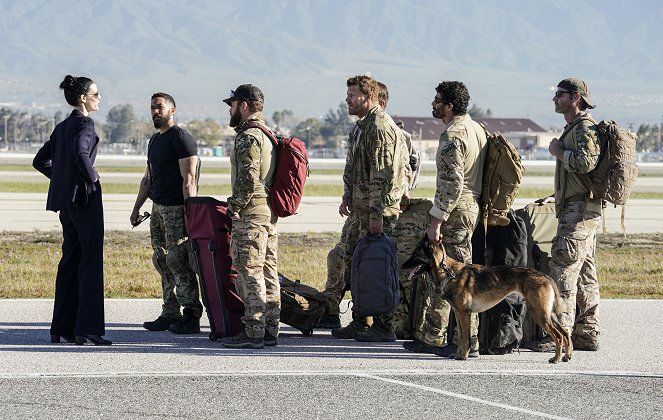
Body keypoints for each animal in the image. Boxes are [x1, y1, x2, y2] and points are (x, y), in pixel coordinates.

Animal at [402, 236, 572, 364]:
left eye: (415, 254)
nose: (402, 266)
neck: (450, 273)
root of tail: (545, 276)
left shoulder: (464, 314)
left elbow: (465, 338)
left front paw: (463, 356)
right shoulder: (459, 314)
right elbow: (461, 336)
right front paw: (458, 354)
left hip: (539, 315)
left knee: (558, 336)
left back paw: (556, 359)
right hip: (549, 315)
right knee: (565, 333)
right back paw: (566, 356)